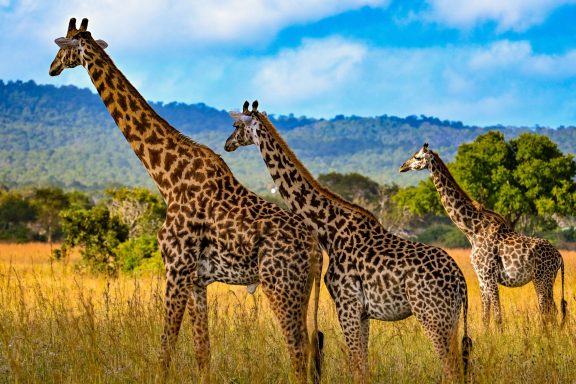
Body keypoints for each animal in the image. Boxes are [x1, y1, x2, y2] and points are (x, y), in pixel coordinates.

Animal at [49, 18, 324, 384]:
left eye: (62, 47)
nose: (51, 69)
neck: (167, 177)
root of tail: (316, 248)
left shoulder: (176, 266)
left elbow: (166, 348)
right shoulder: (196, 278)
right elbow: (202, 352)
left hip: (280, 285)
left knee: (298, 349)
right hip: (301, 290)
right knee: (311, 346)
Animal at [225, 100, 472, 382]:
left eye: (236, 125)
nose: (227, 144)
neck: (329, 231)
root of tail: (461, 282)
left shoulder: (347, 304)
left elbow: (355, 365)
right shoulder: (362, 312)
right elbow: (362, 365)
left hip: (432, 316)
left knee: (451, 368)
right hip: (450, 319)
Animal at [400, 142, 568, 328]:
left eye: (417, 157)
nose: (402, 167)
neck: (472, 230)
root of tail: (559, 256)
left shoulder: (489, 275)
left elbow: (497, 315)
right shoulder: (481, 277)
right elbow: (485, 317)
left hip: (542, 279)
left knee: (548, 310)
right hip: (546, 279)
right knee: (552, 310)